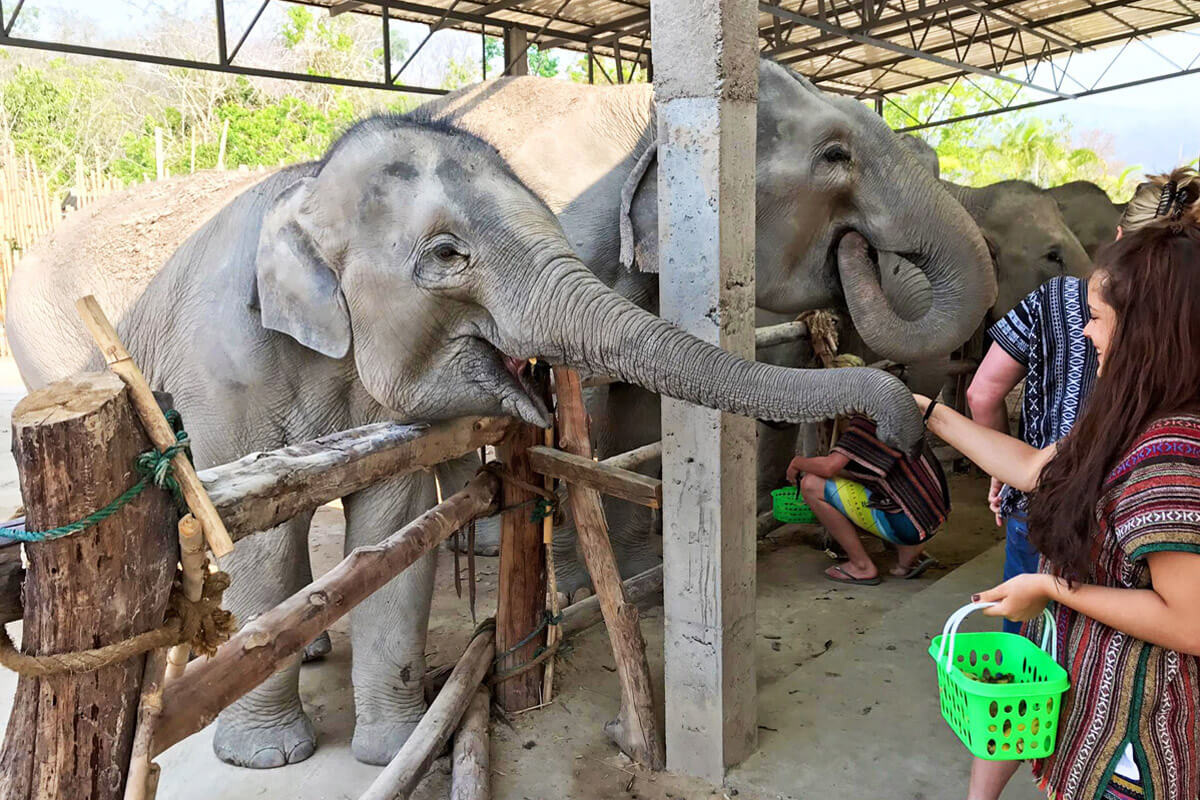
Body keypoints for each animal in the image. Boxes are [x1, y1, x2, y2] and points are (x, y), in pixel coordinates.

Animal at [7, 115, 926, 767]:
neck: (304, 187)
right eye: (448, 254)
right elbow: (263, 551)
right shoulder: (226, 367)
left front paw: (398, 749)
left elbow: (393, 530)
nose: (905, 422)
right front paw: (267, 758)